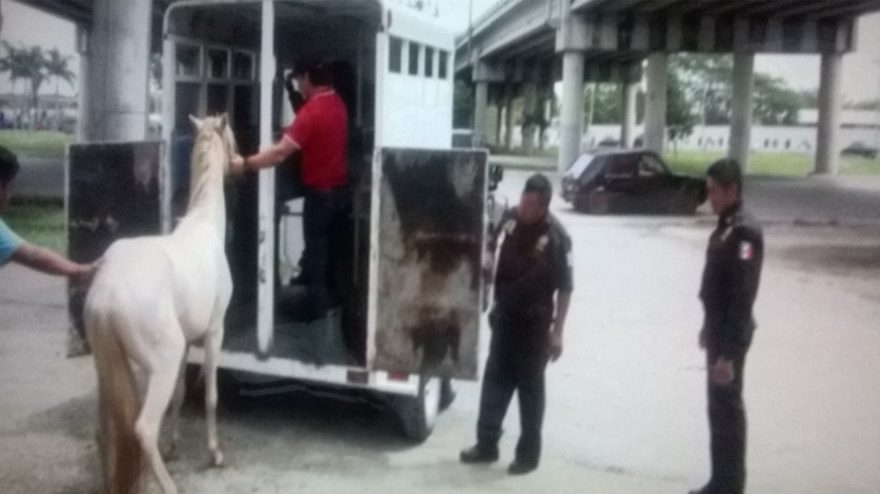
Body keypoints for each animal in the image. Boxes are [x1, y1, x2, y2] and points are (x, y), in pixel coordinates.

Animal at [84, 114, 237, 492]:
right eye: (231, 136)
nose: (239, 162)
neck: (204, 226)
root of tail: (106, 291)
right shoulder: (215, 333)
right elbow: (210, 397)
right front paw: (214, 454)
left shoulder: (188, 345)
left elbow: (180, 395)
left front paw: (174, 446)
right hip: (161, 362)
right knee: (142, 429)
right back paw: (169, 485)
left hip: (109, 369)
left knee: (105, 432)